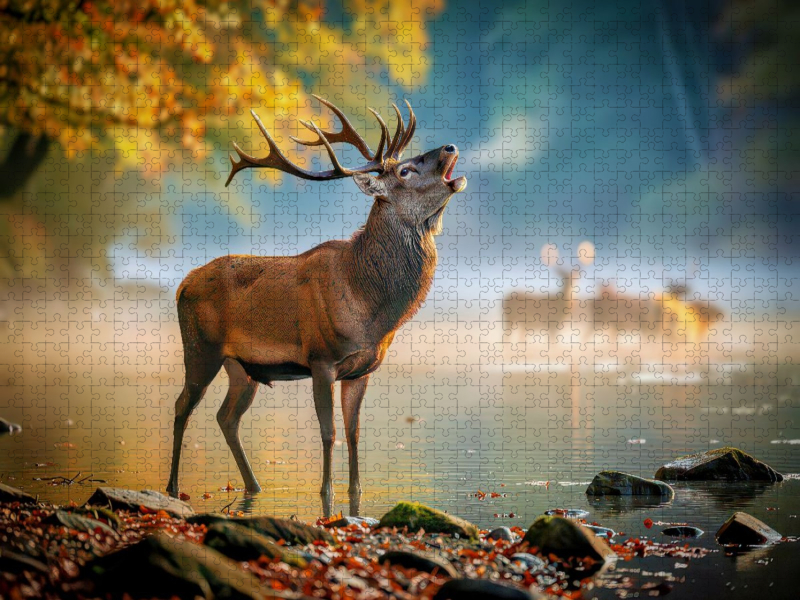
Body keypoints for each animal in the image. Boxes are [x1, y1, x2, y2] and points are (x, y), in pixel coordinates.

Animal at [165, 96, 466, 516]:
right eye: (405, 170)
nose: (450, 148)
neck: (369, 305)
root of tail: (181, 285)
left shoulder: (361, 369)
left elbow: (354, 433)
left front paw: (356, 495)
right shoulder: (321, 358)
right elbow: (329, 432)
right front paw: (326, 497)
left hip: (241, 366)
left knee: (226, 417)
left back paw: (254, 486)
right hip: (200, 348)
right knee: (182, 406)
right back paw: (173, 488)